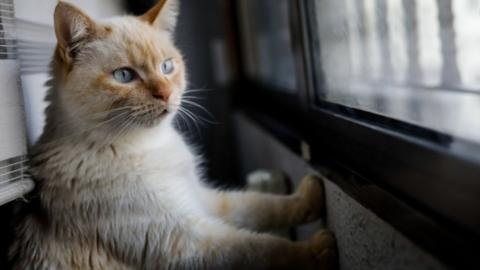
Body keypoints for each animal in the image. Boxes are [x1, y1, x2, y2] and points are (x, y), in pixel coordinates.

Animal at [8, 1, 338, 268]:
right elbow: (260, 248)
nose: (166, 94)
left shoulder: (199, 198)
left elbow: (259, 205)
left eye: (167, 67)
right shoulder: (183, 240)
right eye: (124, 75)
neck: (147, 145)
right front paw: (316, 250)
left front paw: (309, 195)